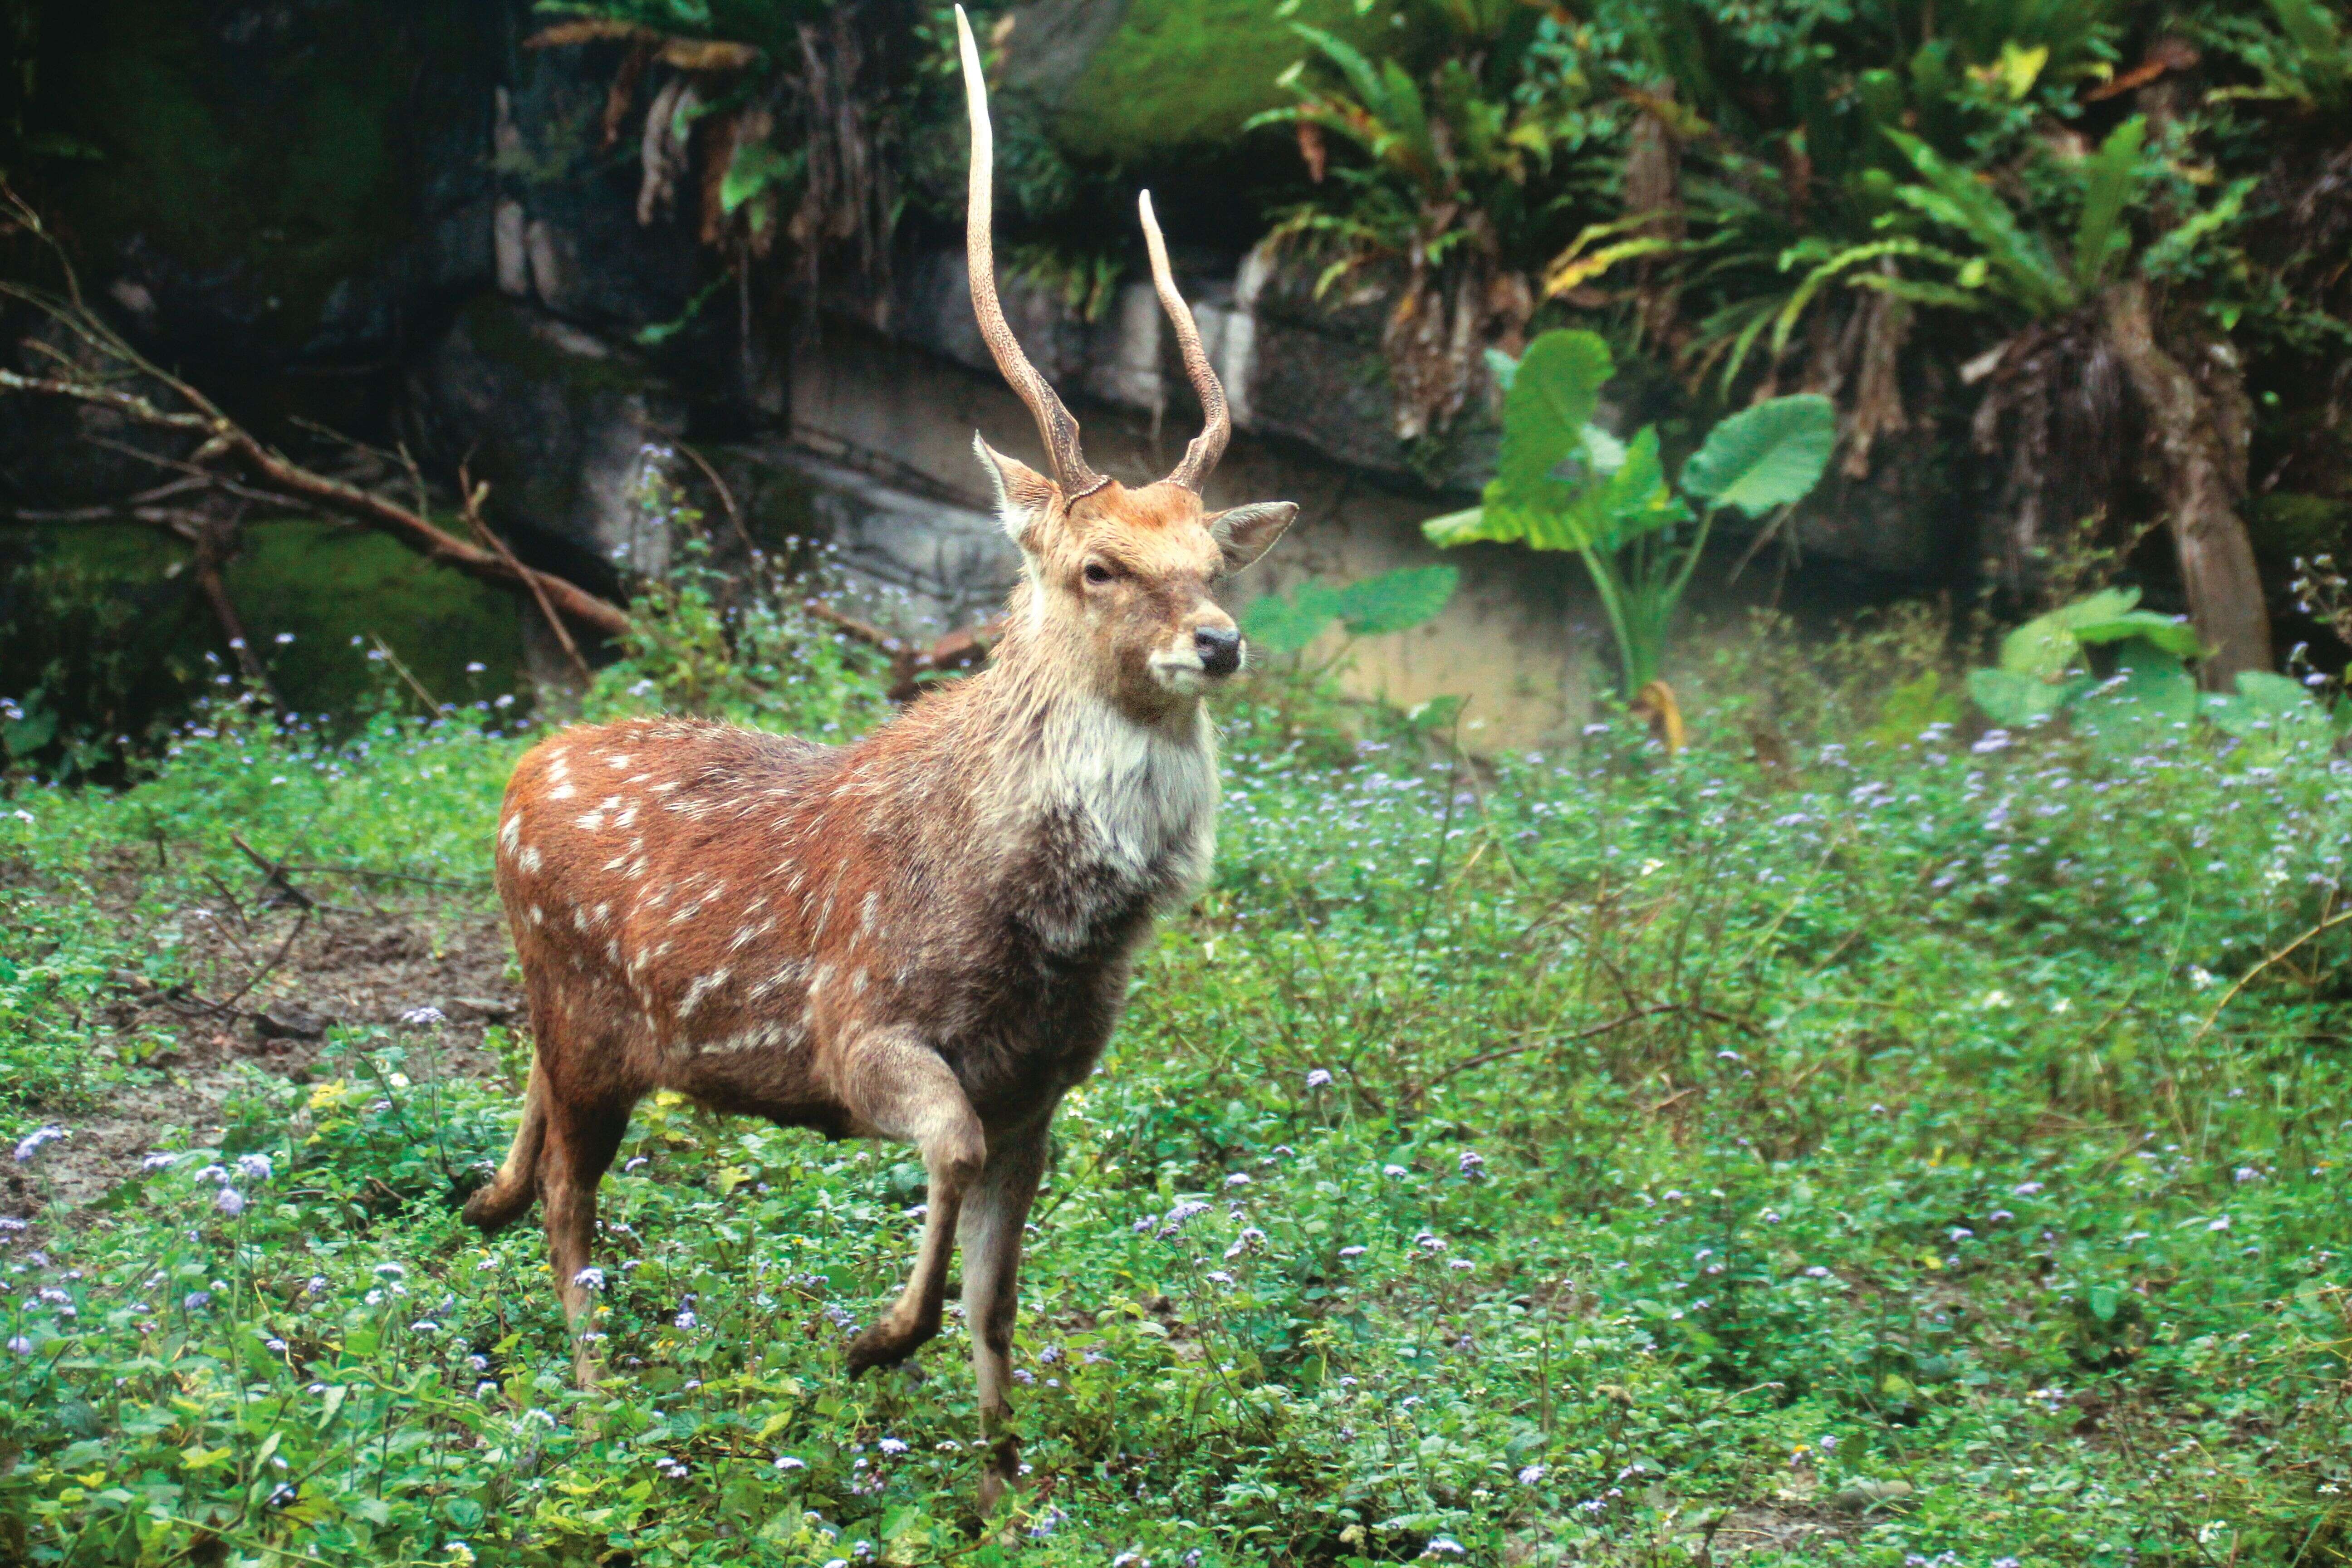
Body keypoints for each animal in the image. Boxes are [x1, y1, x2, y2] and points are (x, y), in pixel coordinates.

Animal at [459, 4, 1297, 1511]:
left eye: (1214, 559)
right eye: (1099, 563)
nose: (1219, 642)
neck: (1044, 939)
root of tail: (515, 772)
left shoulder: (1047, 1089)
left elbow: (1000, 1298)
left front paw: (1003, 1485)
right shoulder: (858, 1030)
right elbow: (944, 1156)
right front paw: (868, 1343)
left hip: (576, 1034)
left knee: (535, 1153)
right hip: (583, 1018)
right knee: (566, 1198)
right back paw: (601, 1404)